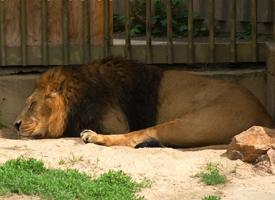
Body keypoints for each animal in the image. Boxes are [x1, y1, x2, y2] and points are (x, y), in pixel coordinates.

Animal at [14, 57, 274, 148]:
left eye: (31, 104)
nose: (15, 124)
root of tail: (264, 113)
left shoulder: (115, 122)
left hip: (192, 123)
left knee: (135, 137)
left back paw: (93, 137)